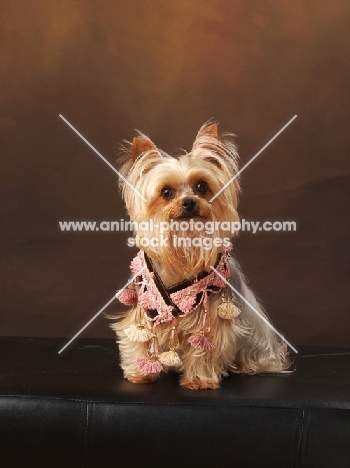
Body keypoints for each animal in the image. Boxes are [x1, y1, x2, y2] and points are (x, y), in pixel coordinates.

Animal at [111, 122, 290, 390]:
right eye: (166, 192)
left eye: (201, 186)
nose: (188, 203)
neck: (185, 245)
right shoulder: (146, 306)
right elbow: (139, 337)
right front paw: (140, 373)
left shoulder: (213, 319)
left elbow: (205, 347)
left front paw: (199, 380)